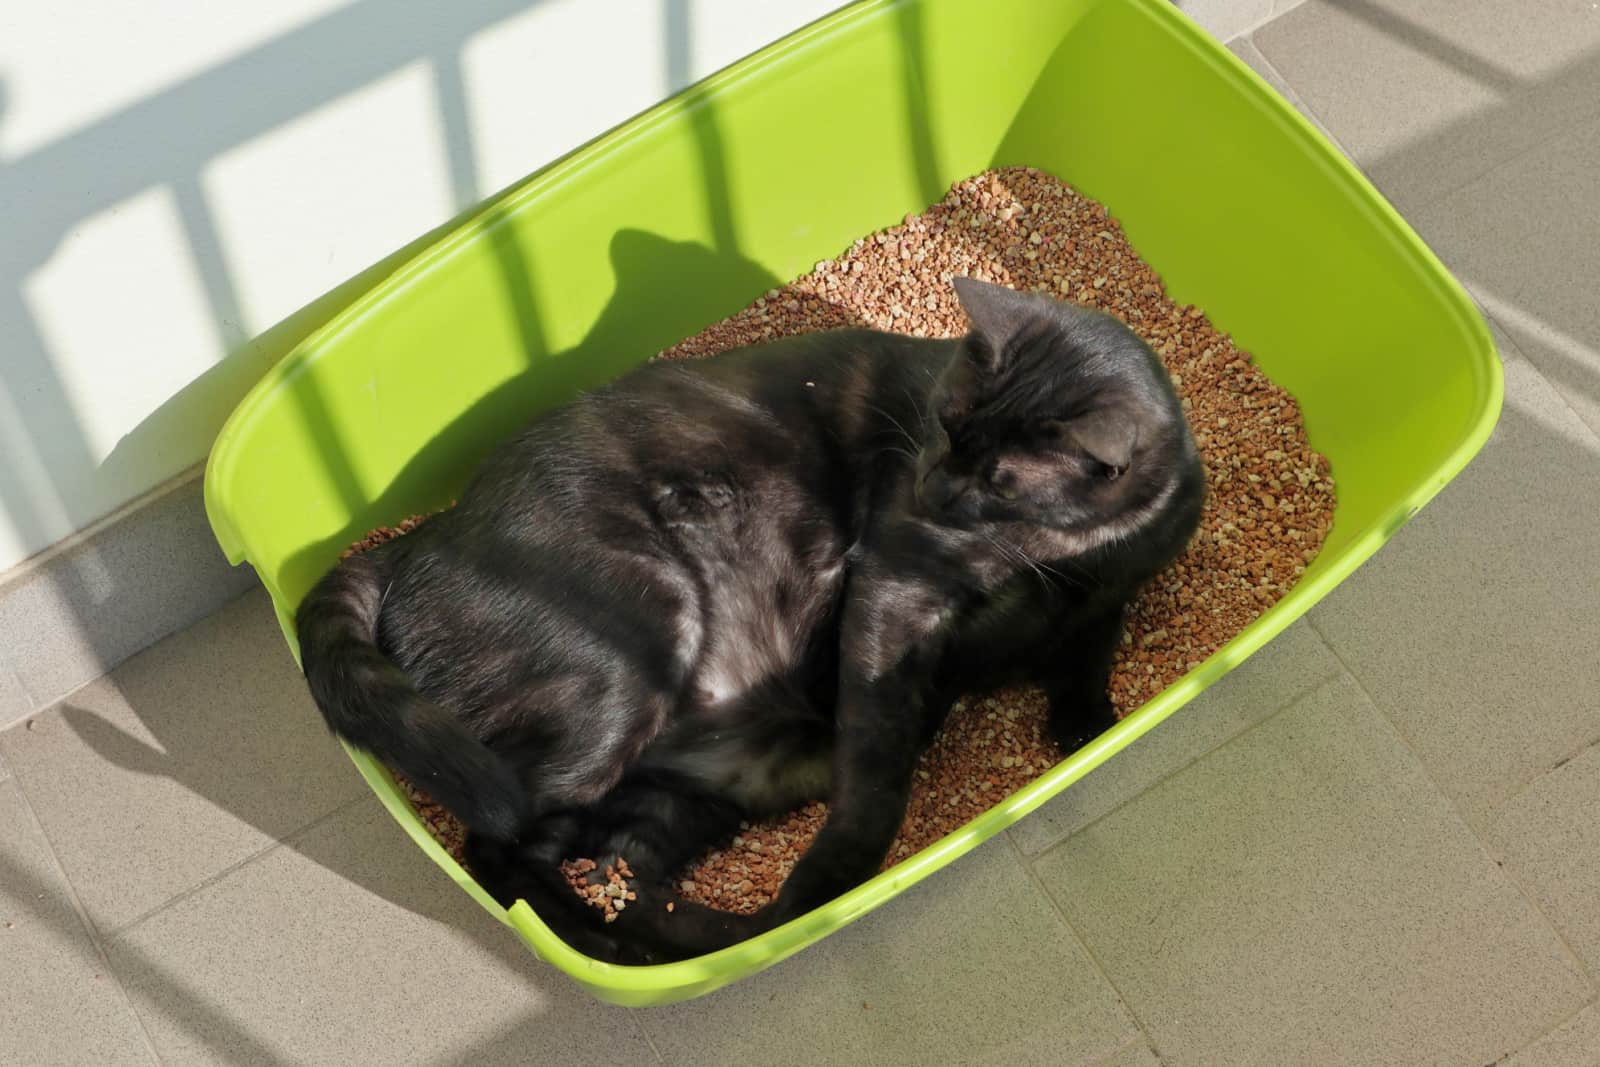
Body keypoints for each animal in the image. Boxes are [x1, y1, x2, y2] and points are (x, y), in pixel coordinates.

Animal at [297, 279, 1203, 966]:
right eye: (946, 425)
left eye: (1003, 479)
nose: (931, 488)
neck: (1054, 558)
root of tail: (424, 537)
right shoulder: (894, 596)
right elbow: (877, 784)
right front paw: (828, 885)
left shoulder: (1109, 594)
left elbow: (1091, 649)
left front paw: (1088, 721)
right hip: (631, 656)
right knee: (498, 844)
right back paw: (663, 937)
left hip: (713, 785)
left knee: (607, 863)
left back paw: (685, 932)